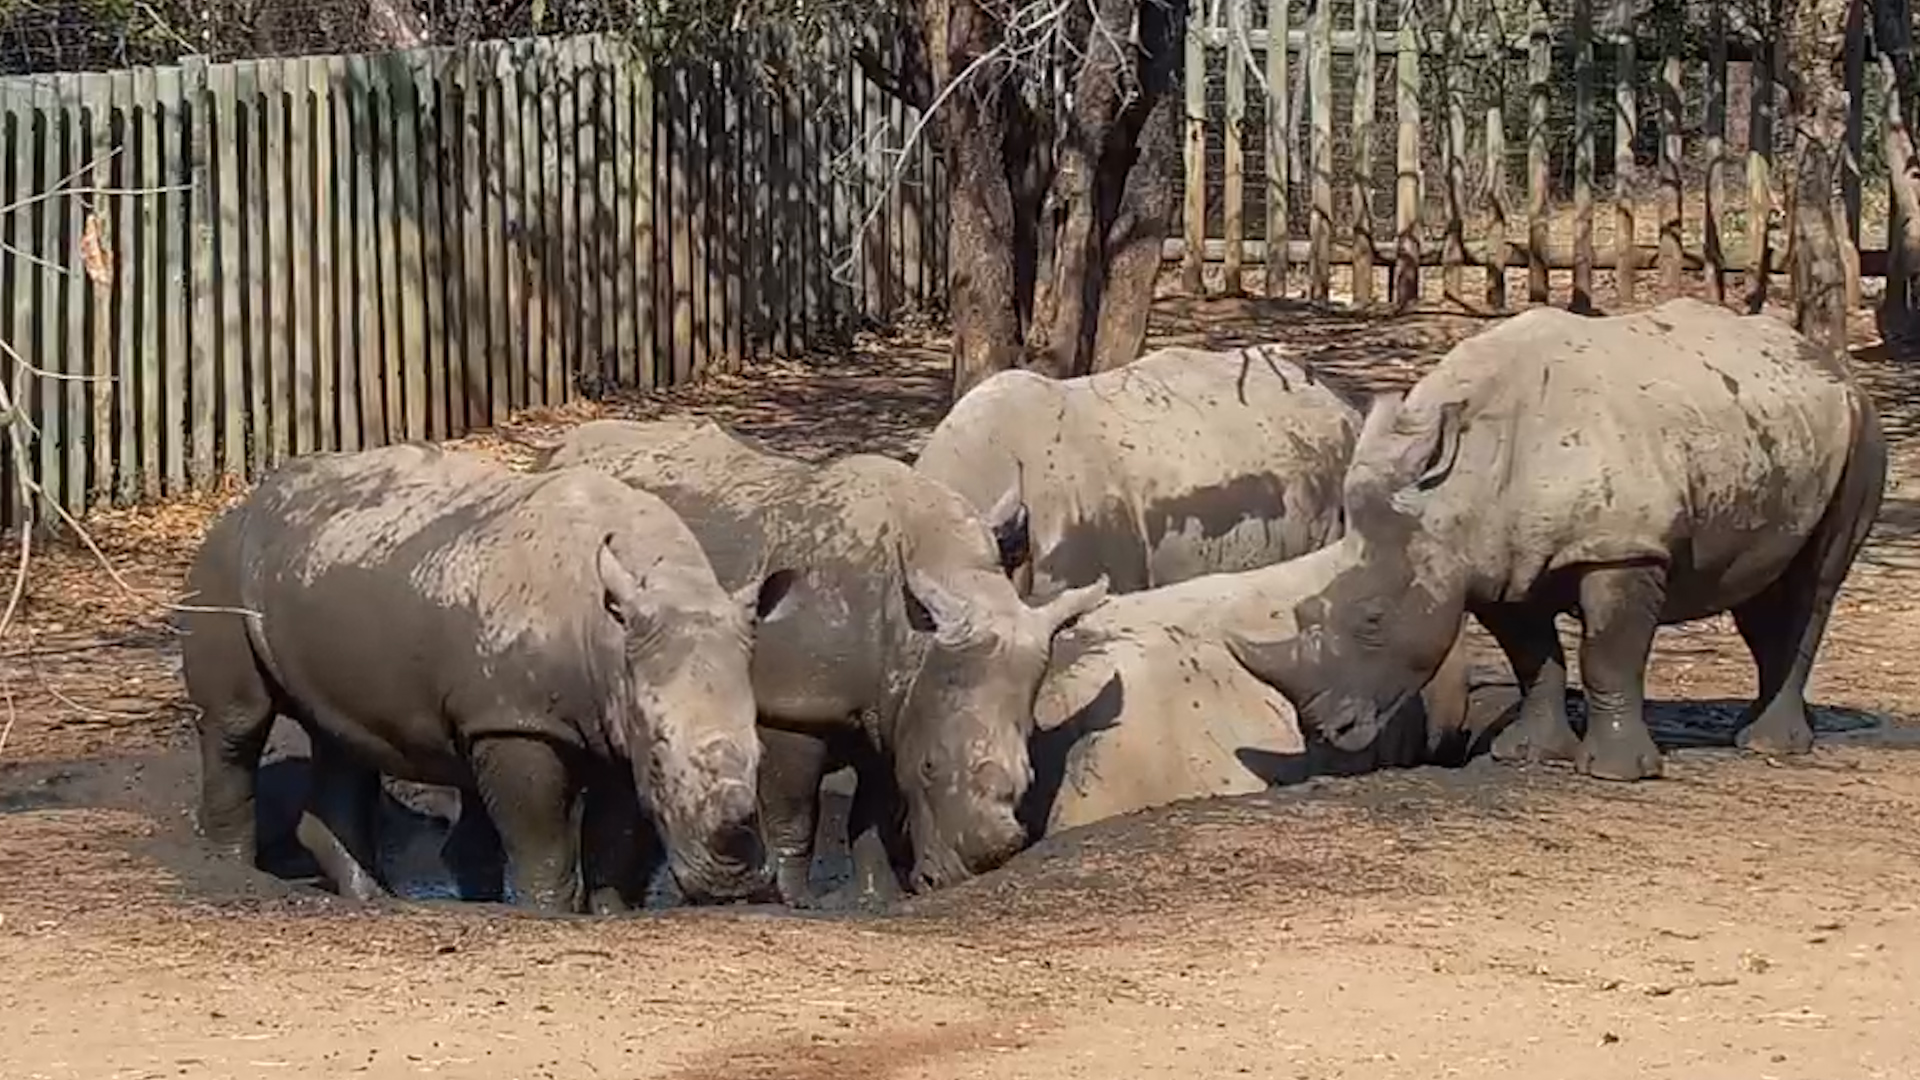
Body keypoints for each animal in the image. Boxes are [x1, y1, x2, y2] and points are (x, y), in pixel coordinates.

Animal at [181, 444, 798, 912]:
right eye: (662, 758)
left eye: (761, 753)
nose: (735, 888)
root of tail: (243, 501)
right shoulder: (514, 720)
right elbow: (541, 843)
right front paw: (548, 912)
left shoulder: (620, 717)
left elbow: (614, 838)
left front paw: (612, 913)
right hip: (224, 564)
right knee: (238, 723)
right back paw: (234, 875)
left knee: (339, 735)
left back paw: (374, 900)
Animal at [537, 419, 1109, 902]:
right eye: (932, 766)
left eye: (1030, 777)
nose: (967, 877)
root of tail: (557, 454)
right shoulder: (796, 702)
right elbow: (795, 815)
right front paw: (796, 902)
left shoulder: (895, 697)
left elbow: (875, 807)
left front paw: (878, 897)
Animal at [1224, 299, 1887, 782]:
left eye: (1372, 620)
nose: (1324, 734)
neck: (1453, 487)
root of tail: (1829, 361)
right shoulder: (1492, 561)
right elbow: (1533, 658)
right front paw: (1529, 757)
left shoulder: (1622, 545)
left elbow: (1607, 654)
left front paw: (1615, 775)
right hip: (1776, 430)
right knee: (1761, 586)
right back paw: (1762, 735)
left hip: (1862, 427)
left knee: (1812, 585)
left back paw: (1770, 748)